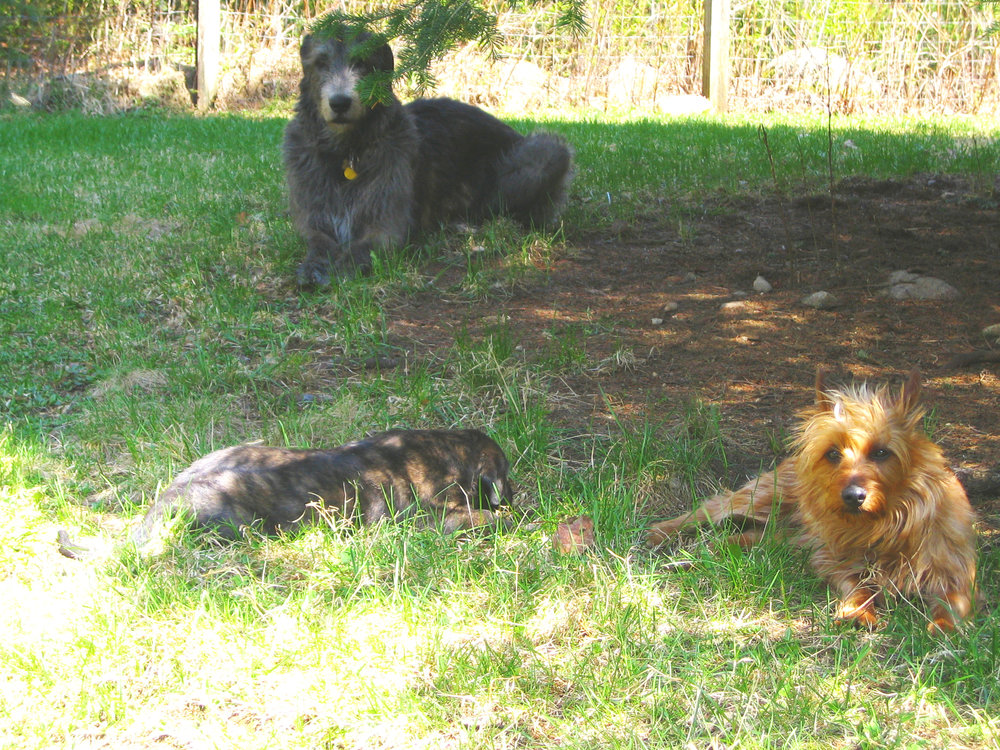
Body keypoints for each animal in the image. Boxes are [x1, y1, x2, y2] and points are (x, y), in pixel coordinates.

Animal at [286, 30, 576, 288]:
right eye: (321, 63)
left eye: (362, 63)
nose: (340, 103)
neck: (347, 151)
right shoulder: (313, 217)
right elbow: (318, 241)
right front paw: (314, 266)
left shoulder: (388, 226)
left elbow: (363, 246)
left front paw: (342, 268)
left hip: (547, 152)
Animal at [648, 370, 976, 636]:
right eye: (832, 453)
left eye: (882, 452)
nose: (853, 496)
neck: (884, 526)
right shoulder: (835, 560)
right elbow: (858, 587)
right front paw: (858, 612)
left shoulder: (955, 573)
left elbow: (951, 603)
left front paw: (944, 627)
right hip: (766, 497)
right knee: (711, 508)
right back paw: (663, 534)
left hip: (779, 533)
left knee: (742, 537)